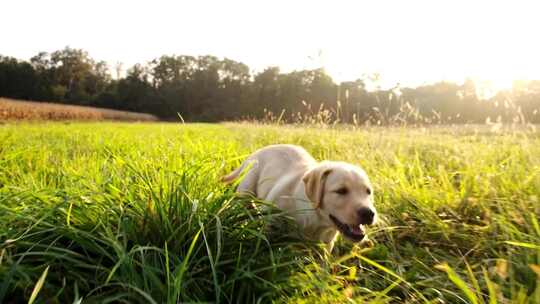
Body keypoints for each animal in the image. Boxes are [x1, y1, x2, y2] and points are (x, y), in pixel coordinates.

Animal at [221, 145, 378, 252]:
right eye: (341, 191)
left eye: (368, 192)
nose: (369, 213)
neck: (317, 220)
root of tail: (255, 152)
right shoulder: (272, 223)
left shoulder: (327, 243)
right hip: (247, 186)